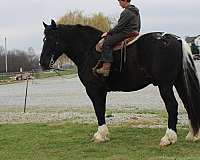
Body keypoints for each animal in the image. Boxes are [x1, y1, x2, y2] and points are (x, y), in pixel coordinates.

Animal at [39, 20, 200, 146]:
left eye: (53, 38)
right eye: (44, 39)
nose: (43, 63)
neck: (88, 50)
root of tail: (176, 40)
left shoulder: (94, 89)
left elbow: (99, 109)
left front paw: (101, 135)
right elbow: (101, 109)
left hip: (165, 84)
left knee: (172, 106)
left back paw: (168, 138)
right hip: (179, 81)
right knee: (187, 103)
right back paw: (192, 135)